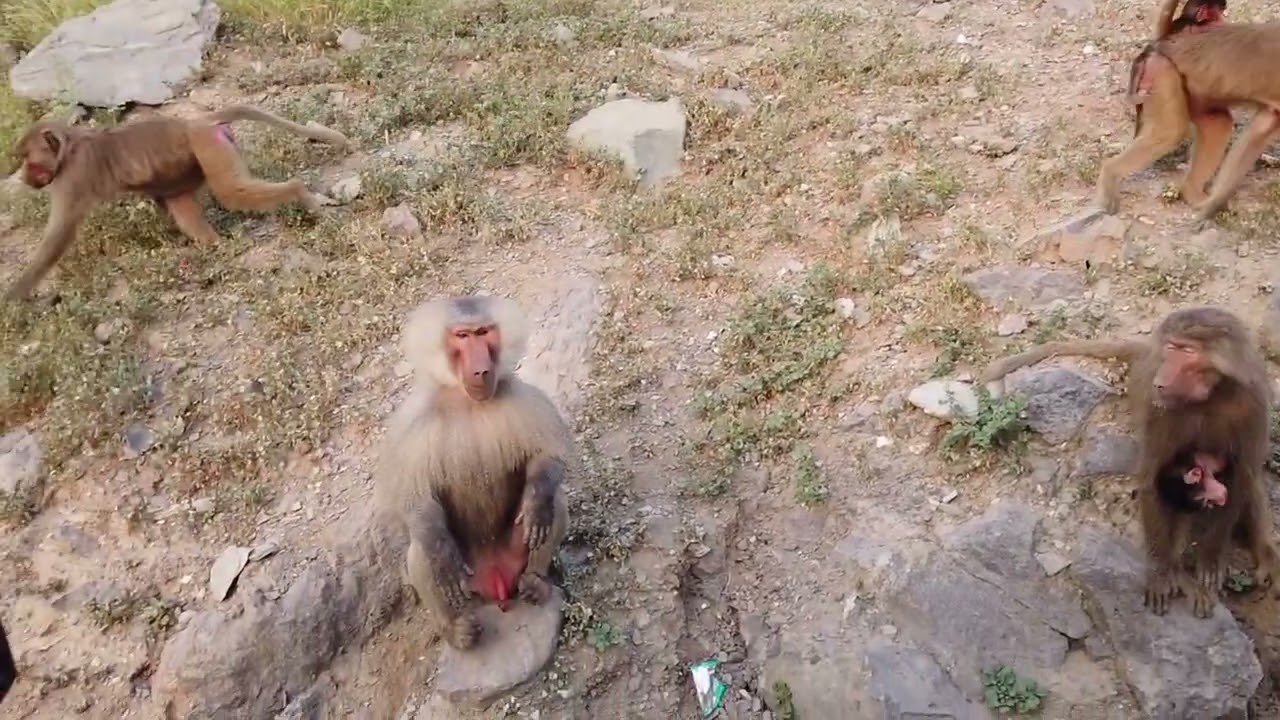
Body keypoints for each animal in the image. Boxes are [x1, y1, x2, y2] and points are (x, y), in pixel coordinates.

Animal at [4, 104, 351, 301]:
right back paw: (214, 248)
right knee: (184, 204)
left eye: (29, 160)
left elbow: (58, 236)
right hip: (196, 157)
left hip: (208, 147)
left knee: (231, 192)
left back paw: (299, 193)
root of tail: (197, 122)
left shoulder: (72, 177)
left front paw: (14, 298)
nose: (24, 178)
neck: (69, 146)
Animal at [374, 295, 572, 650]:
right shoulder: (412, 422)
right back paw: (456, 630)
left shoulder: (522, 395)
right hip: (467, 580)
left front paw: (536, 501)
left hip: (513, 553)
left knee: (556, 504)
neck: (467, 401)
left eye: (484, 332)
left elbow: (548, 457)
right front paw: (440, 551)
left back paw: (536, 581)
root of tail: (495, 583)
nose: (481, 369)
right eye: (462, 336)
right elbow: (413, 499)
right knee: (420, 549)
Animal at [979, 306, 1278, 618]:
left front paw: (1210, 558)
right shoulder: (1161, 409)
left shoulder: (1252, 402)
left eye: (1187, 350)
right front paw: (1162, 573)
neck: (1214, 394)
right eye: (1171, 348)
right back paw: (1178, 573)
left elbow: (1242, 475)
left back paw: (1266, 555)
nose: (1161, 378)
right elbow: (1153, 479)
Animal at [1094, 23, 1280, 219]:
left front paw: (1214, 205)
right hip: (1163, 74)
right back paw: (1110, 173)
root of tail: (1154, 48)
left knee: (1218, 124)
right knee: (1172, 131)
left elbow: (1259, 131)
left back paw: (1194, 195)